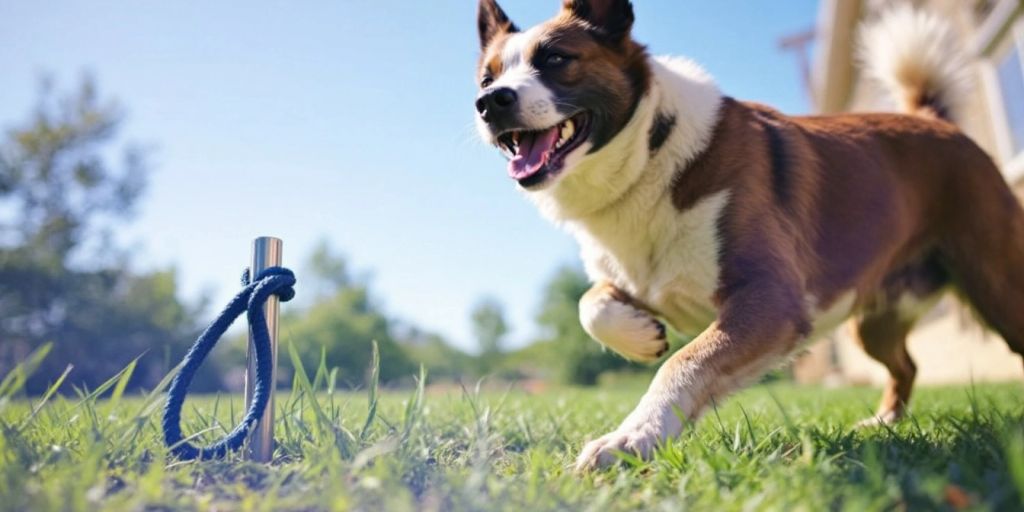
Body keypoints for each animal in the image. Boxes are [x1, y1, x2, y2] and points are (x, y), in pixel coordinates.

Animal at [471, 1, 1024, 471]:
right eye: (487, 77)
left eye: (556, 59)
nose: (489, 103)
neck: (650, 154)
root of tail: (932, 119)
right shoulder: (636, 280)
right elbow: (592, 304)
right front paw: (638, 336)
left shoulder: (770, 300)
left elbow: (682, 364)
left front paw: (631, 438)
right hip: (873, 323)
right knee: (906, 366)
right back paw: (883, 423)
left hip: (999, 289)